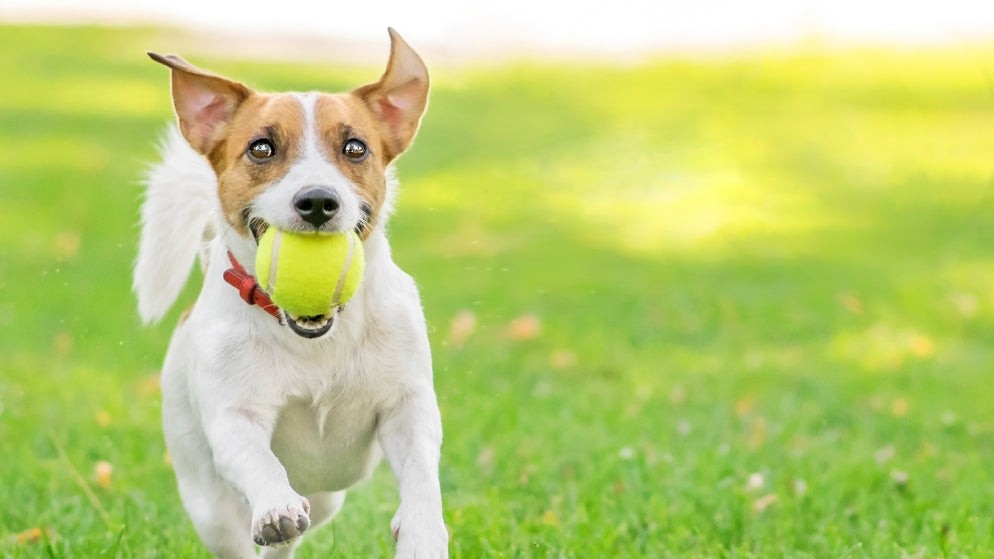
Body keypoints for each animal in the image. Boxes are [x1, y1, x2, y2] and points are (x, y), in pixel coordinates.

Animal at [132, 28, 446, 556]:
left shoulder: (408, 404)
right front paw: (275, 506)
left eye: (355, 148)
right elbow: (258, 461)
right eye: (261, 148)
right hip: (209, 501)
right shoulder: (235, 418)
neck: (317, 339)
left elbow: (422, 471)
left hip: (326, 499)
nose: (318, 201)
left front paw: (423, 529)